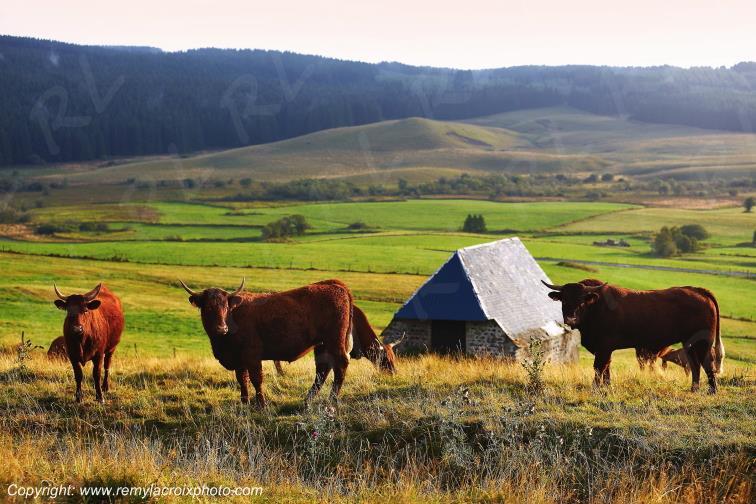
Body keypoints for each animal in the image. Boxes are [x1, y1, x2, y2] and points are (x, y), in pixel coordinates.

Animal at [180, 278, 383, 407]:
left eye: (226, 306)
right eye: (207, 307)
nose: (221, 328)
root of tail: (335, 285)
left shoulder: (252, 355)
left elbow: (256, 379)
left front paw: (261, 405)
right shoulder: (239, 359)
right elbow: (242, 380)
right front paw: (244, 403)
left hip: (335, 341)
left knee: (340, 365)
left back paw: (331, 400)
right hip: (322, 344)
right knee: (323, 369)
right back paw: (307, 400)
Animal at [541, 279, 724, 393]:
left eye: (581, 302)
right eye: (564, 300)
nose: (570, 319)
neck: (595, 307)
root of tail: (698, 291)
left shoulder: (603, 347)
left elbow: (599, 367)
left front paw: (596, 388)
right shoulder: (605, 349)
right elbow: (606, 367)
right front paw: (607, 387)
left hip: (702, 341)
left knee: (707, 363)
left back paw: (712, 391)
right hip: (689, 342)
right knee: (695, 364)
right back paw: (694, 389)